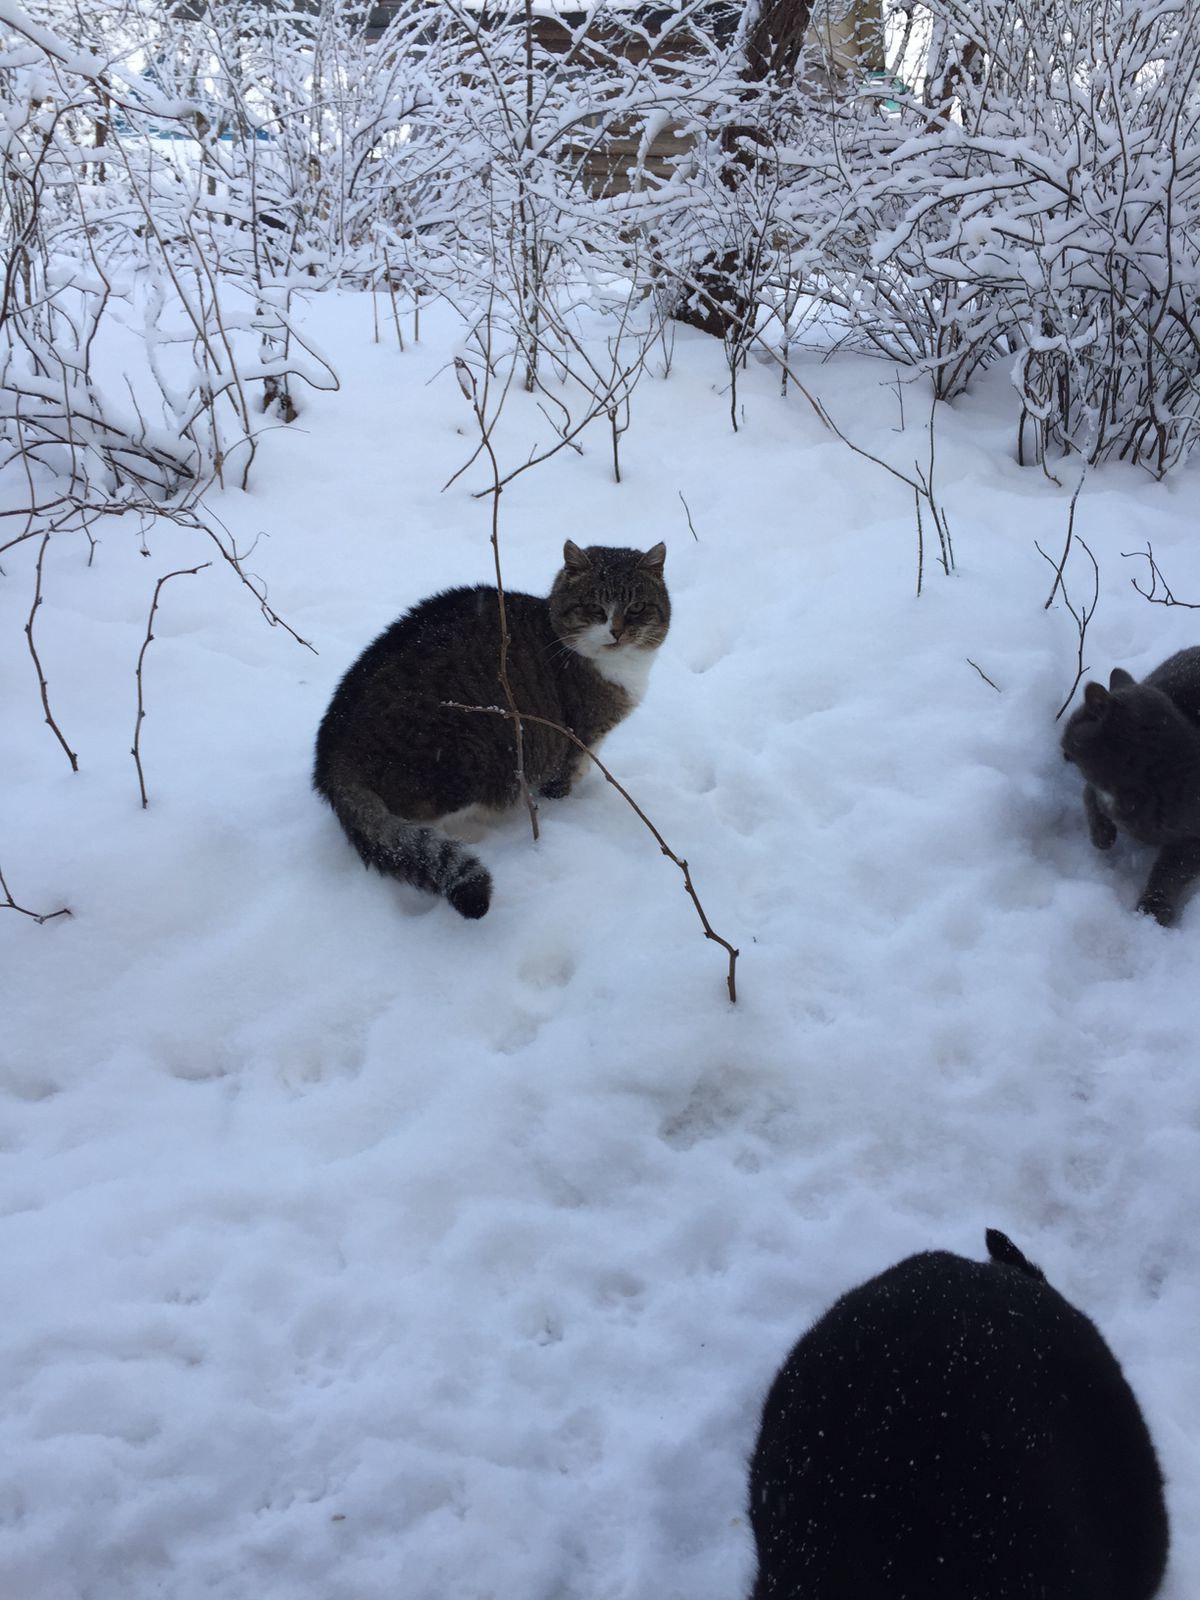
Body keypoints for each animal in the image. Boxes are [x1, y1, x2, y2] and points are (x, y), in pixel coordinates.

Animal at [315, 540, 672, 921]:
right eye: (594, 607)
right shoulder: (576, 741)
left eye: (637, 607)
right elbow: (563, 783)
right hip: (467, 756)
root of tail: (332, 753)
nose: (617, 631)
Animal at [1062, 643, 1200, 928]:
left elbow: (1170, 872)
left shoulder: (1194, 839)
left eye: (1073, 724)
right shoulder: (1096, 788)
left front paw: (1153, 908)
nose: (1061, 745)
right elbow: (1089, 794)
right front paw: (1102, 836)